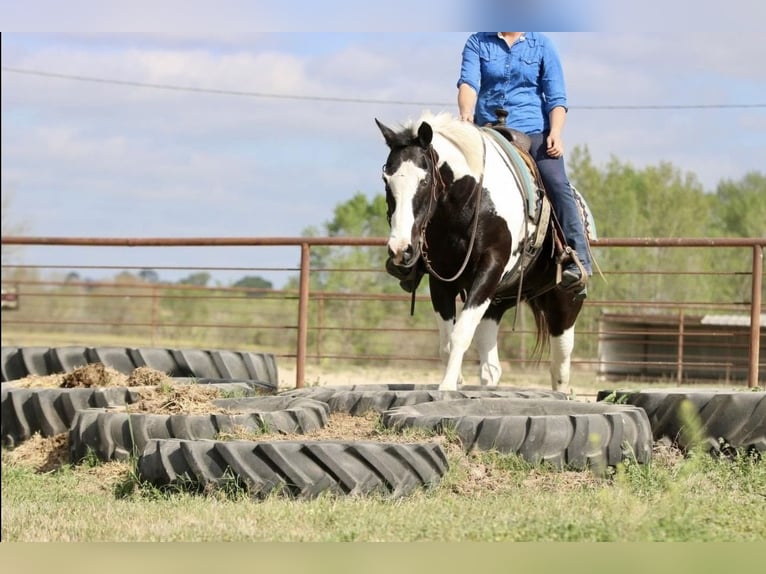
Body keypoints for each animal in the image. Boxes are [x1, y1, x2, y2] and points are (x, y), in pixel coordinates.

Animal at [375, 112, 590, 393]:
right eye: (386, 179)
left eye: (424, 180)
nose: (400, 249)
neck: (471, 201)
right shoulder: (441, 280)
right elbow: (447, 343)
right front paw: (455, 380)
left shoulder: (490, 268)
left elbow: (460, 334)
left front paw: (447, 386)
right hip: (495, 304)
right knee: (491, 367)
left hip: (564, 304)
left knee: (560, 367)